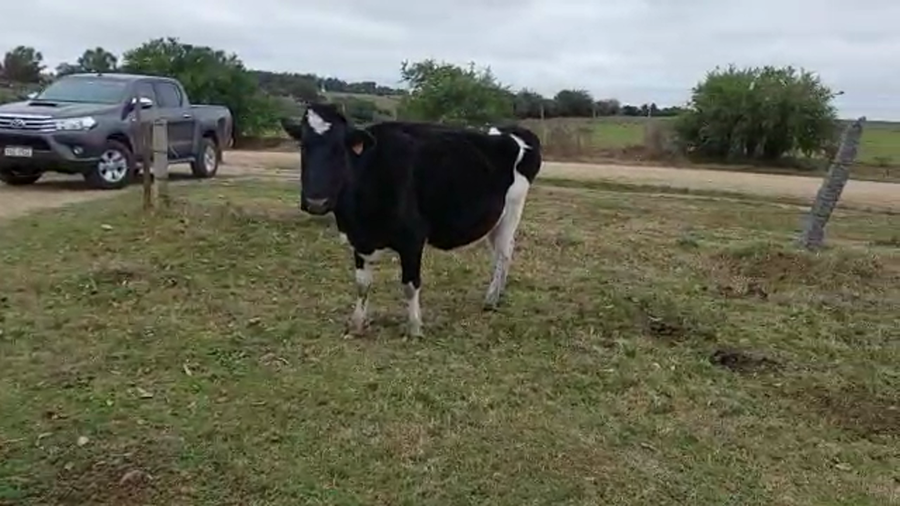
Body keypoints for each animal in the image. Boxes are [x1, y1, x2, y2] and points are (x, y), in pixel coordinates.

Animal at [281, 103, 542, 338]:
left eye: (340, 148)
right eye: (303, 146)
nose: (316, 201)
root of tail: (512, 131)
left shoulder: (412, 239)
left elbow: (409, 285)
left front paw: (415, 328)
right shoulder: (359, 239)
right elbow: (362, 284)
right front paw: (356, 324)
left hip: (512, 211)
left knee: (504, 253)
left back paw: (491, 299)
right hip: (494, 220)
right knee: (501, 252)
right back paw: (496, 296)